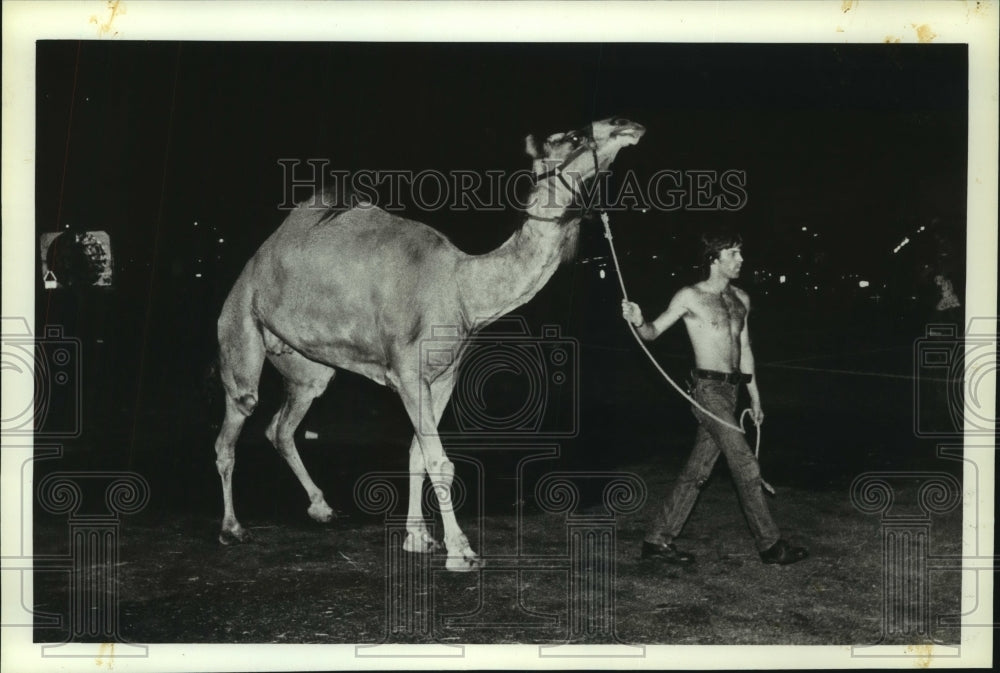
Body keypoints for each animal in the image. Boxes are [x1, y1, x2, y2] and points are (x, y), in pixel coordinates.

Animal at [214, 115, 644, 568]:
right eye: (574, 136)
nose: (626, 124)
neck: (463, 288)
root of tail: (256, 259)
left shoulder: (442, 377)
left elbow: (418, 453)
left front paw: (418, 536)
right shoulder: (407, 373)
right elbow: (439, 459)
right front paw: (461, 549)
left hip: (307, 368)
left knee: (281, 426)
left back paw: (321, 508)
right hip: (240, 322)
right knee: (235, 422)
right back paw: (232, 528)